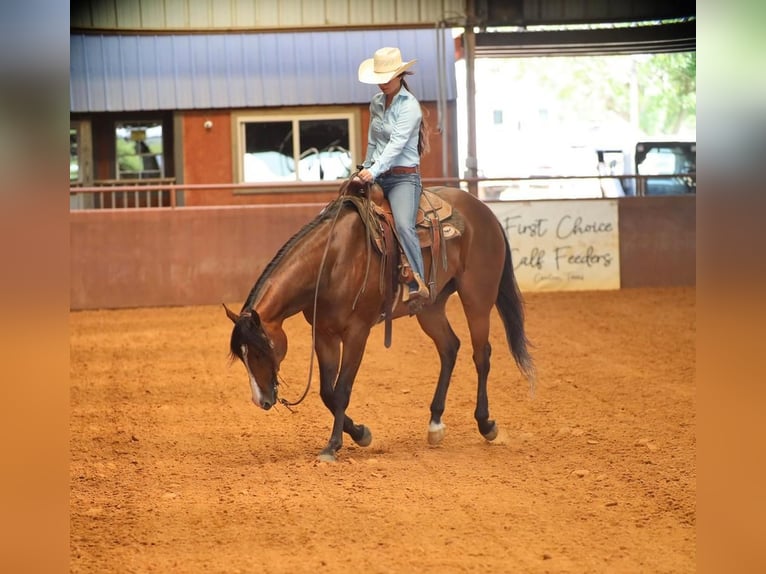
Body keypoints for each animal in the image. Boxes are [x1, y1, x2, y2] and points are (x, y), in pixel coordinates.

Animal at [225, 182, 536, 466]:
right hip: (430, 307)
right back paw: (435, 423)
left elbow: (342, 391)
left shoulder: (356, 332)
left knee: (481, 355)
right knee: (450, 347)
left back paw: (486, 424)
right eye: (242, 357)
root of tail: (484, 210)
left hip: (477, 297)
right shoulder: (324, 334)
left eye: (260, 352)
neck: (332, 260)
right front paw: (360, 433)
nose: (262, 401)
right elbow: (327, 392)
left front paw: (333, 446)